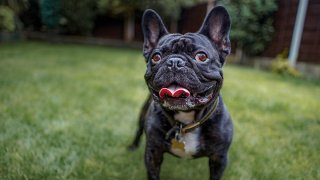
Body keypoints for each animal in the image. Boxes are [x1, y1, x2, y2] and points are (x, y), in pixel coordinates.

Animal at [129, 5, 232, 180]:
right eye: (156, 57)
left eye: (202, 56)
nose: (174, 61)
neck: (185, 122)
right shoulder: (153, 153)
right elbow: (153, 174)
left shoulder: (219, 158)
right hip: (142, 115)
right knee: (138, 130)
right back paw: (132, 146)